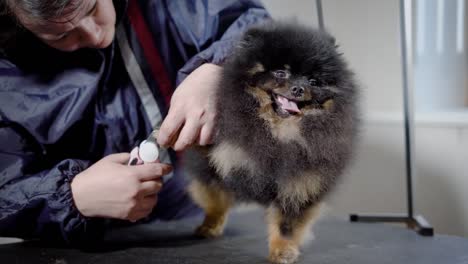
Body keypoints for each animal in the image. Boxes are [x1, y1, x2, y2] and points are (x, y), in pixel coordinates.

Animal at [183, 21, 358, 264]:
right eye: (281, 72)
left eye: (313, 81)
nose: (298, 89)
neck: (279, 130)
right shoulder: (215, 161)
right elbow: (216, 197)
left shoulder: (300, 182)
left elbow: (287, 224)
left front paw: (283, 250)